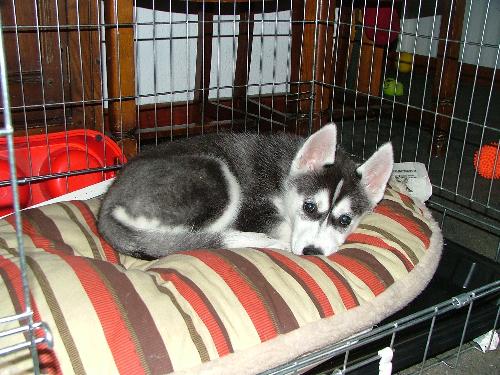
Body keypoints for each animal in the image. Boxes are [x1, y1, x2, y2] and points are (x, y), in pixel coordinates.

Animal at [98, 123, 394, 258]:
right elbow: (282, 228)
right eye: (309, 207)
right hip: (217, 177)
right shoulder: (253, 208)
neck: (285, 175)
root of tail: (107, 207)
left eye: (345, 220)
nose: (313, 252)